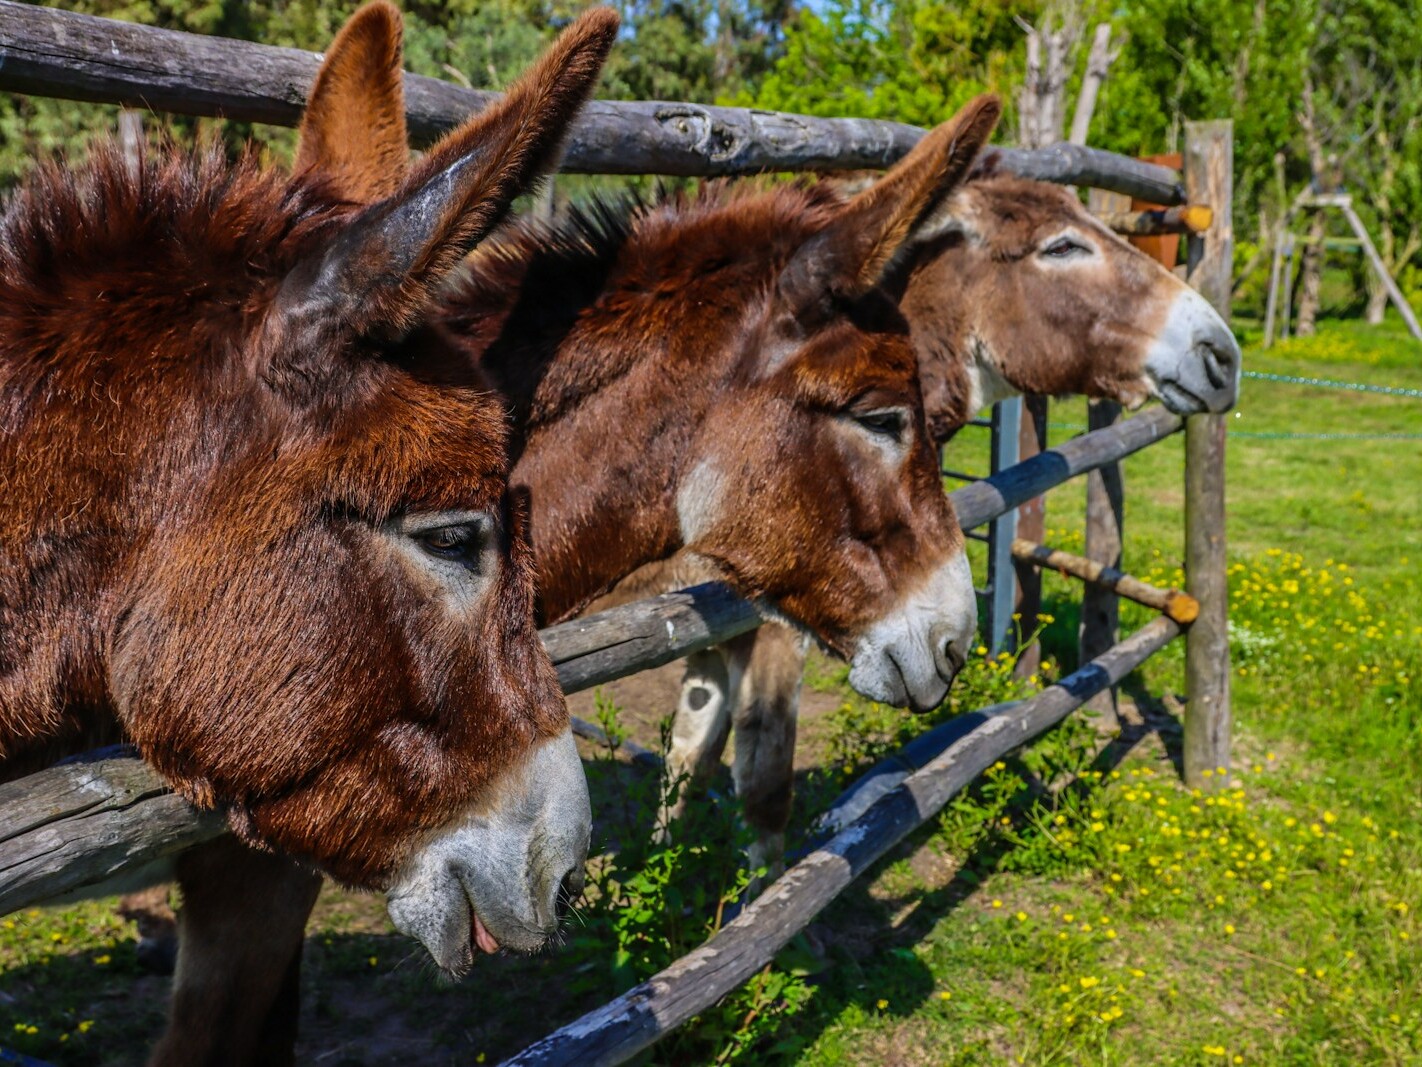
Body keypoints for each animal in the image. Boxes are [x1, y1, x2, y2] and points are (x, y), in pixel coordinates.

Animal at [592, 164, 1244, 878]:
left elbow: (687, 760)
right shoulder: (768, 626)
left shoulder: (710, 633)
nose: (1224, 354)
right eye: (1062, 247)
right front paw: (756, 901)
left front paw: (664, 874)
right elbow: (763, 793)